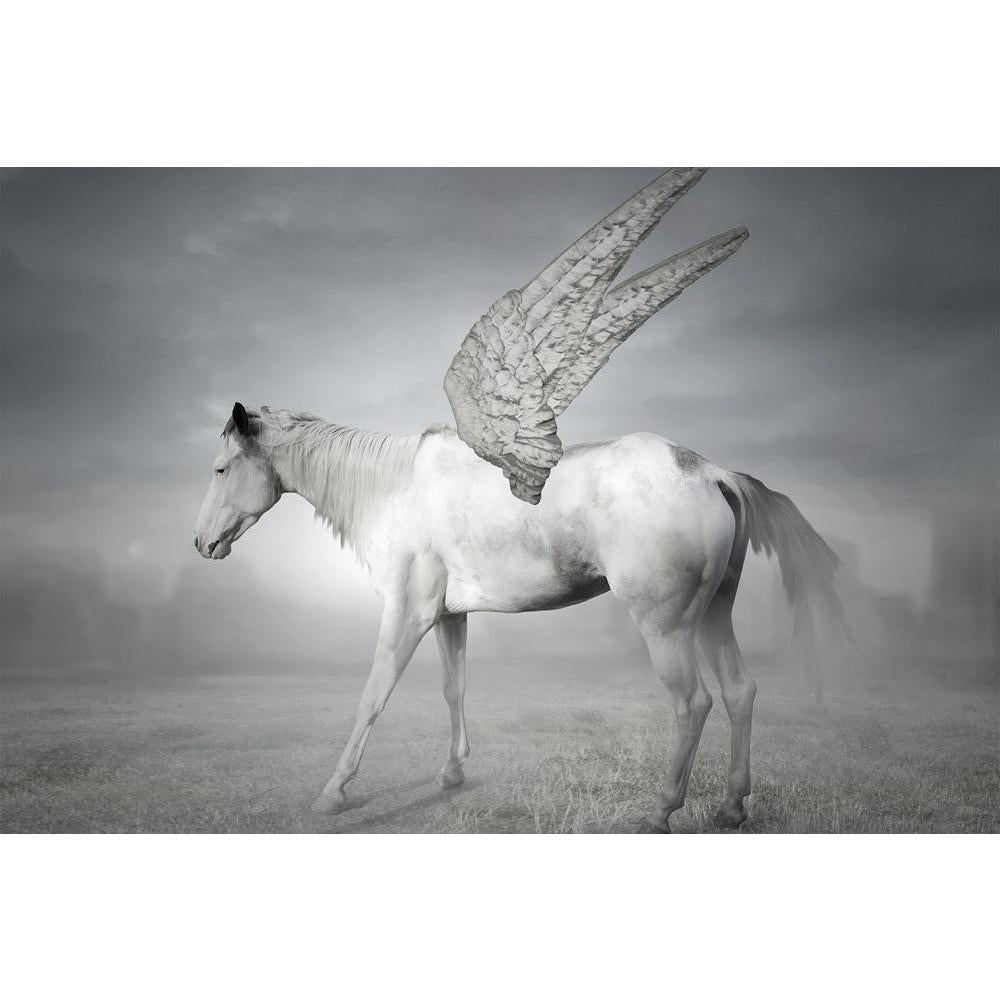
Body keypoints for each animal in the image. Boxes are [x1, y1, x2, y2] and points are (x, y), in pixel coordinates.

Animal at [194, 401, 842, 830]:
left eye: (222, 468)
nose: (202, 543)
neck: (399, 489)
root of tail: (710, 472)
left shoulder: (407, 614)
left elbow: (373, 697)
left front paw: (335, 790)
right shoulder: (449, 618)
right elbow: (454, 690)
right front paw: (452, 773)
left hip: (667, 628)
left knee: (694, 703)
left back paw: (661, 809)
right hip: (712, 619)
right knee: (739, 693)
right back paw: (732, 805)